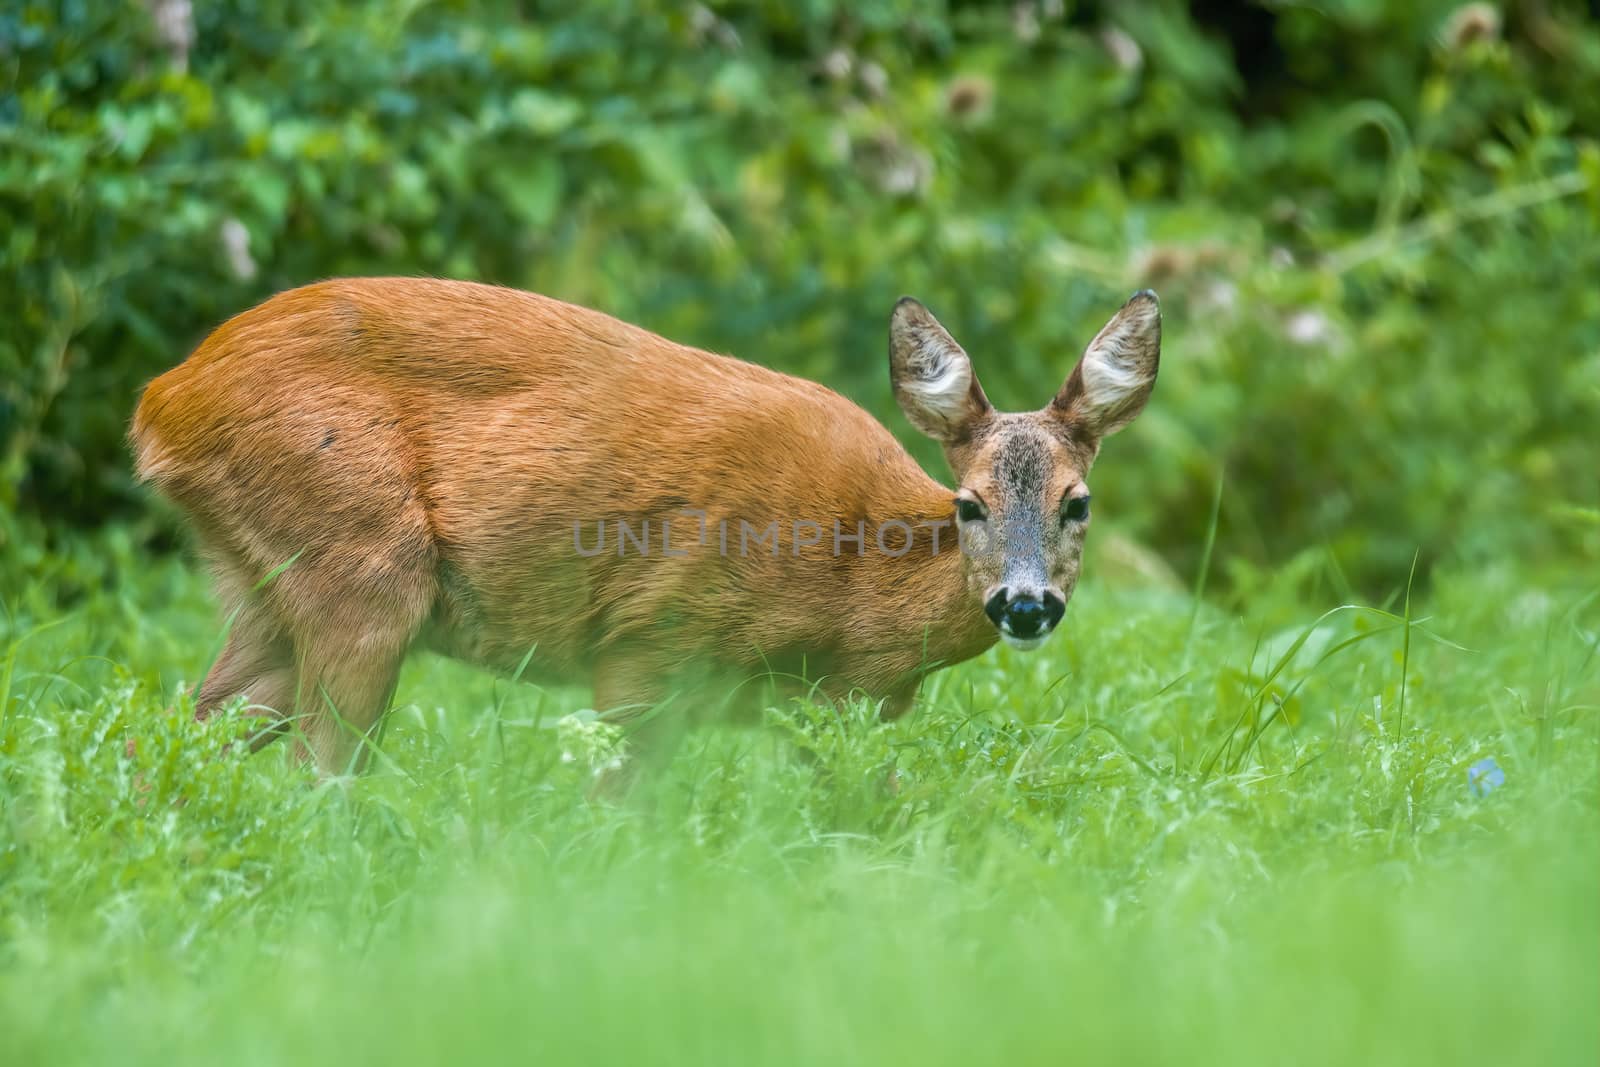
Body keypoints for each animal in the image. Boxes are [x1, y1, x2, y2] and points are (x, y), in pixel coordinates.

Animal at [128, 275, 1164, 777]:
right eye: (970, 504)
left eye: (1077, 502)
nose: (1024, 604)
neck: (854, 593)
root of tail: (165, 399)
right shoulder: (650, 643)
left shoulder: (825, 708)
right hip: (361, 563)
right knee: (318, 773)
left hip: (271, 584)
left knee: (172, 736)